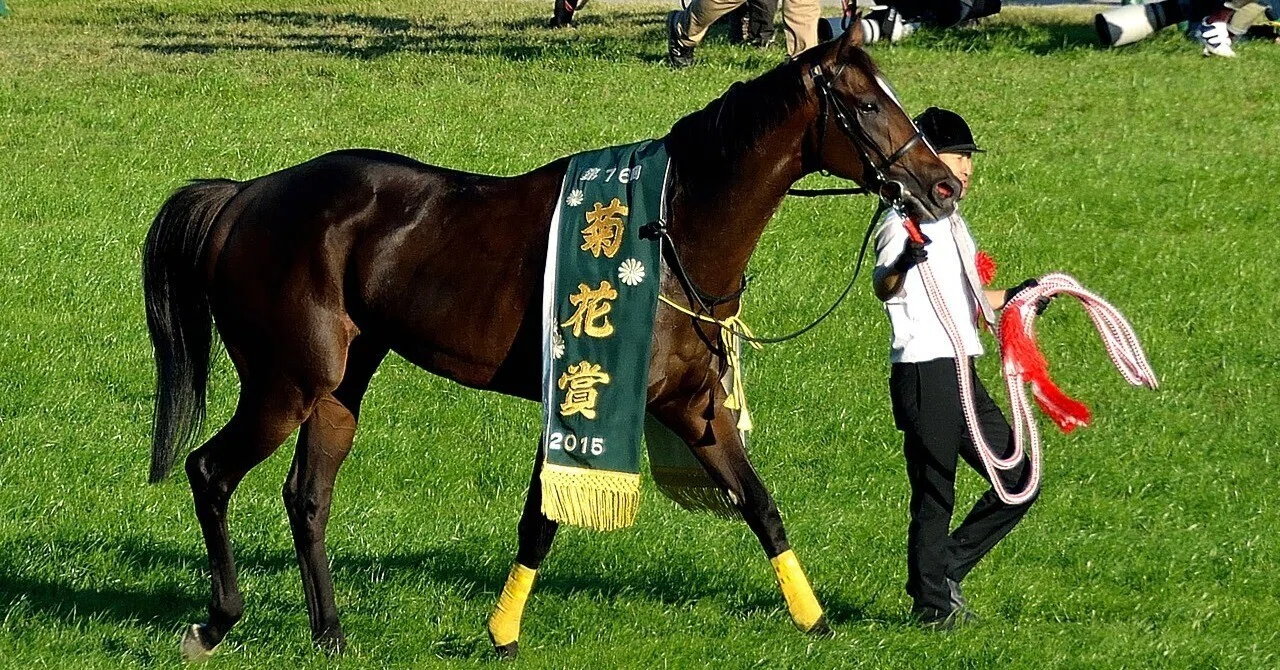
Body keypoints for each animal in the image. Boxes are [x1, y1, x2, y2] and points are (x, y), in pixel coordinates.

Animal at [142, 25, 959, 661]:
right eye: (865, 104)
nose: (943, 186)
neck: (667, 225)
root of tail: (246, 196)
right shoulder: (580, 397)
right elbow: (540, 522)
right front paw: (502, 632)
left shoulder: (693, 405)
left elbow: (760, 503)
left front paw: (815, 621)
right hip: (286, 383)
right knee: (210, 471)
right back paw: (215, 622)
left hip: (340, 385)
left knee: (307, 498)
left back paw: (331, 634)